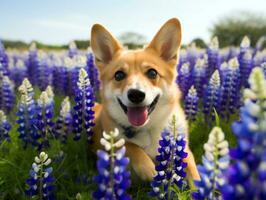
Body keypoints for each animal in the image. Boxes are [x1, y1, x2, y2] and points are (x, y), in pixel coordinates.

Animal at [90, 18, 198, 180]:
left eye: (152, 73)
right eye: (119, 75)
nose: (136, 94)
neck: (147, 128)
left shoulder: (183, 149)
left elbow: (193, 171)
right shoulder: (112, 141)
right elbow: (129, 146)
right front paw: (149, 169)